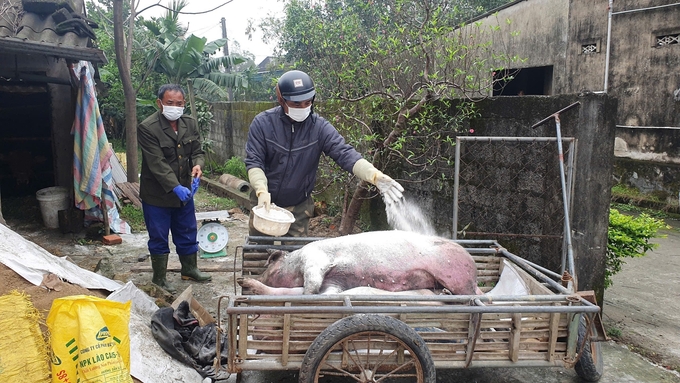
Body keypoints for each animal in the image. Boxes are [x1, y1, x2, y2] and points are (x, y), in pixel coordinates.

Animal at [238, 231, 478, 296]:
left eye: (269, 267)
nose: (257, 275)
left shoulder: (314, 258)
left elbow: (312, 281)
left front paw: (308, 294)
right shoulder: (335, 283)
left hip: (455, 275)